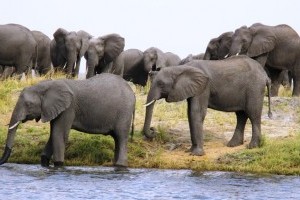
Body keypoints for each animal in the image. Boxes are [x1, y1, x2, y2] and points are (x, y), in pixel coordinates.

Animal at [0, 73, 135, 167]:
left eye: (28, 104)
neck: (46, 85)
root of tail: (132, 92)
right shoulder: (55, 109)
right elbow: (53, 135)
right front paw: (45, 164)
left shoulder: (68, 108)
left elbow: (59, 134)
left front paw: (59, 165)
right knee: (117, 139)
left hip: (125, 112)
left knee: (121, 137)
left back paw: (121, 166)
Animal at [143, 55, 272, 155]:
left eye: (161, 84)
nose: (153, 130)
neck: (180, 68)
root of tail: (265, 75)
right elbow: (190, 113)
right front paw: (190, 151)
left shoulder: (204, 87)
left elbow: (196, 112)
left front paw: (197, 154)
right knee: (241, 115)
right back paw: (233, 145)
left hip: (255, 88)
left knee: (253, 114)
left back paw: (252, 146)